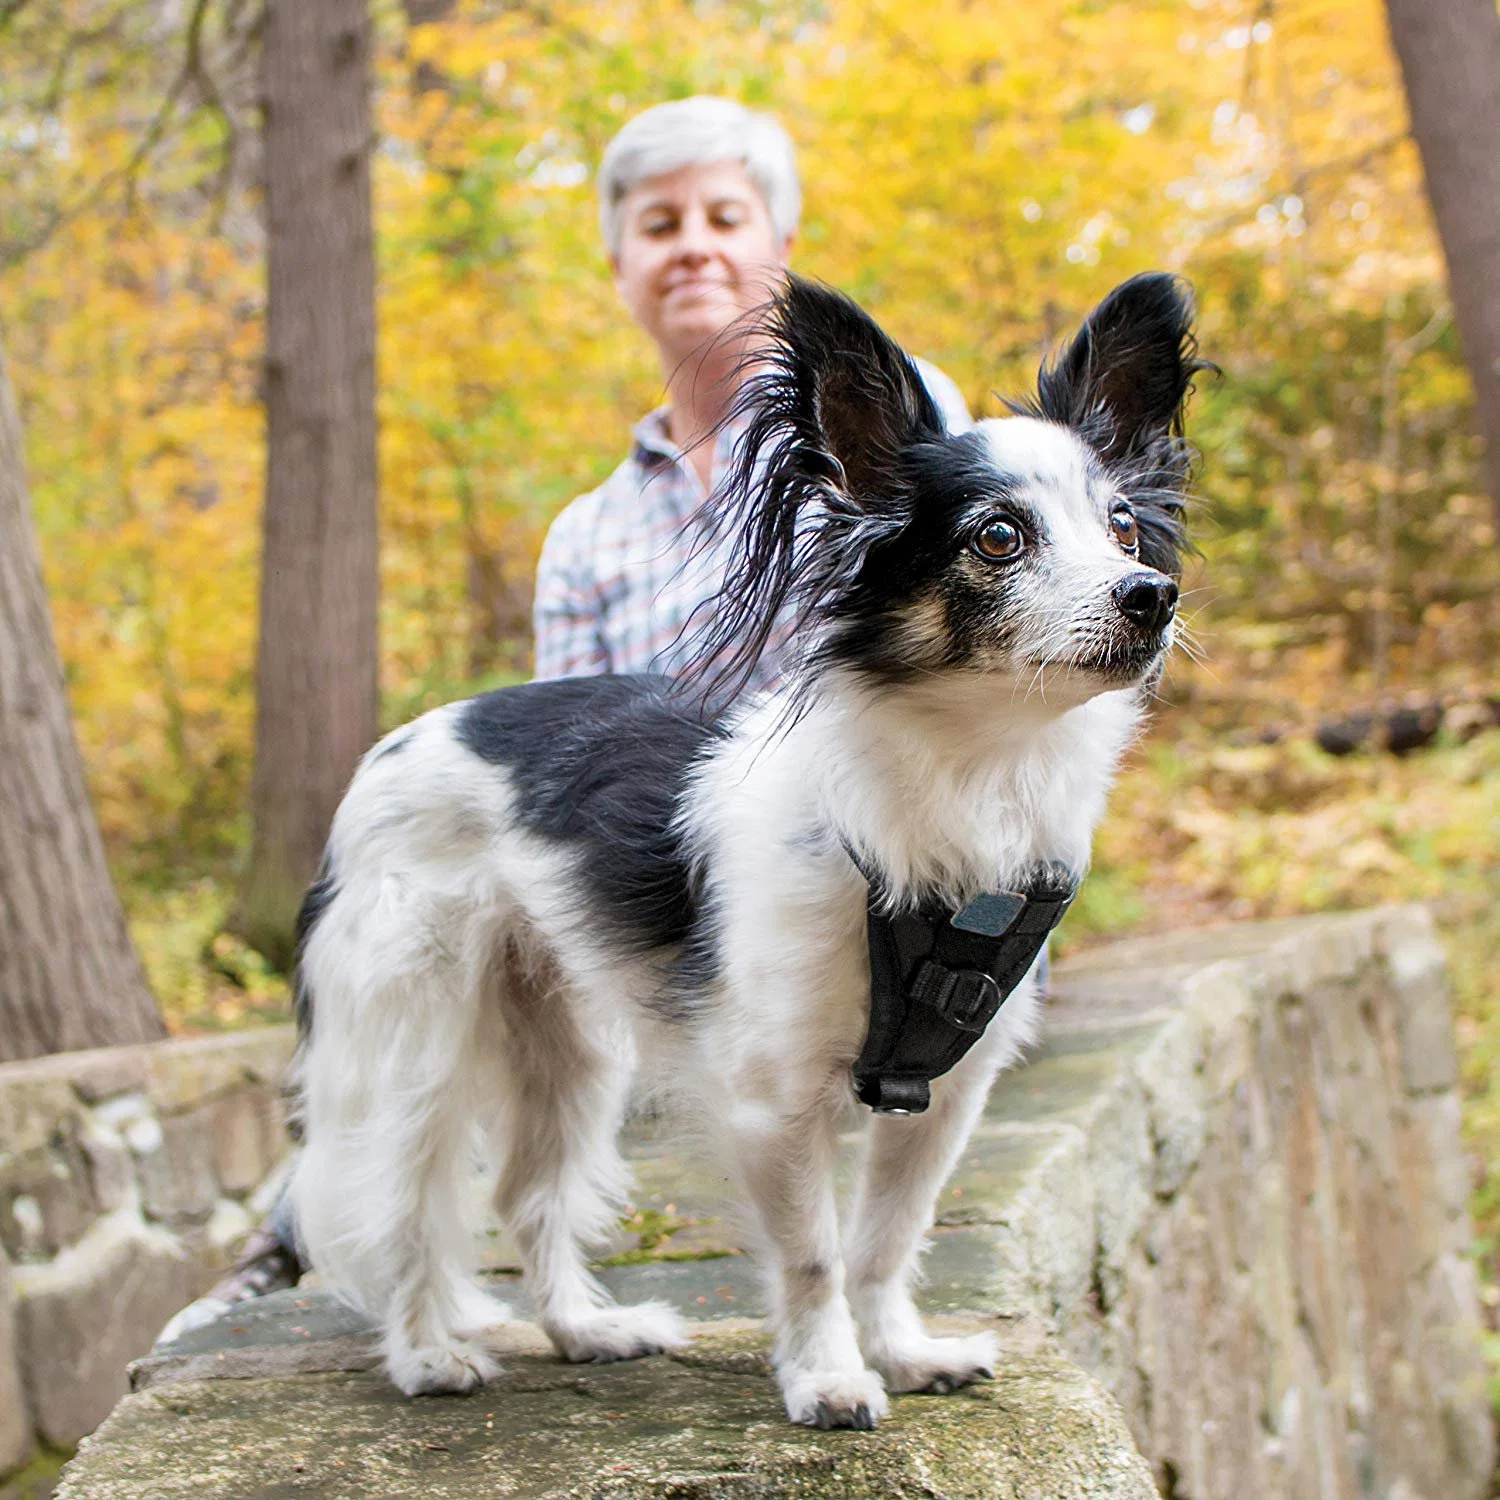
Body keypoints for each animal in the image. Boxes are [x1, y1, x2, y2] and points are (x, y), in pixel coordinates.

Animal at [289, 270, 1206, 1428]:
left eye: (1125, 529)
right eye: (999, 538)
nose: (1152, 596)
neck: (971, 771)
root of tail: (390, 753)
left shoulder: (947, 1093)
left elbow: (887, 1240)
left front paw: (900, 1351)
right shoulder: (773, 1100)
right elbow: (814, 1256)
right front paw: (828, 1378)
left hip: (567, 1045)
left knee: (525, 1192)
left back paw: (583, 1331)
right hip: (421, 1037)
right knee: (404, 1203)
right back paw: (424, 1355)